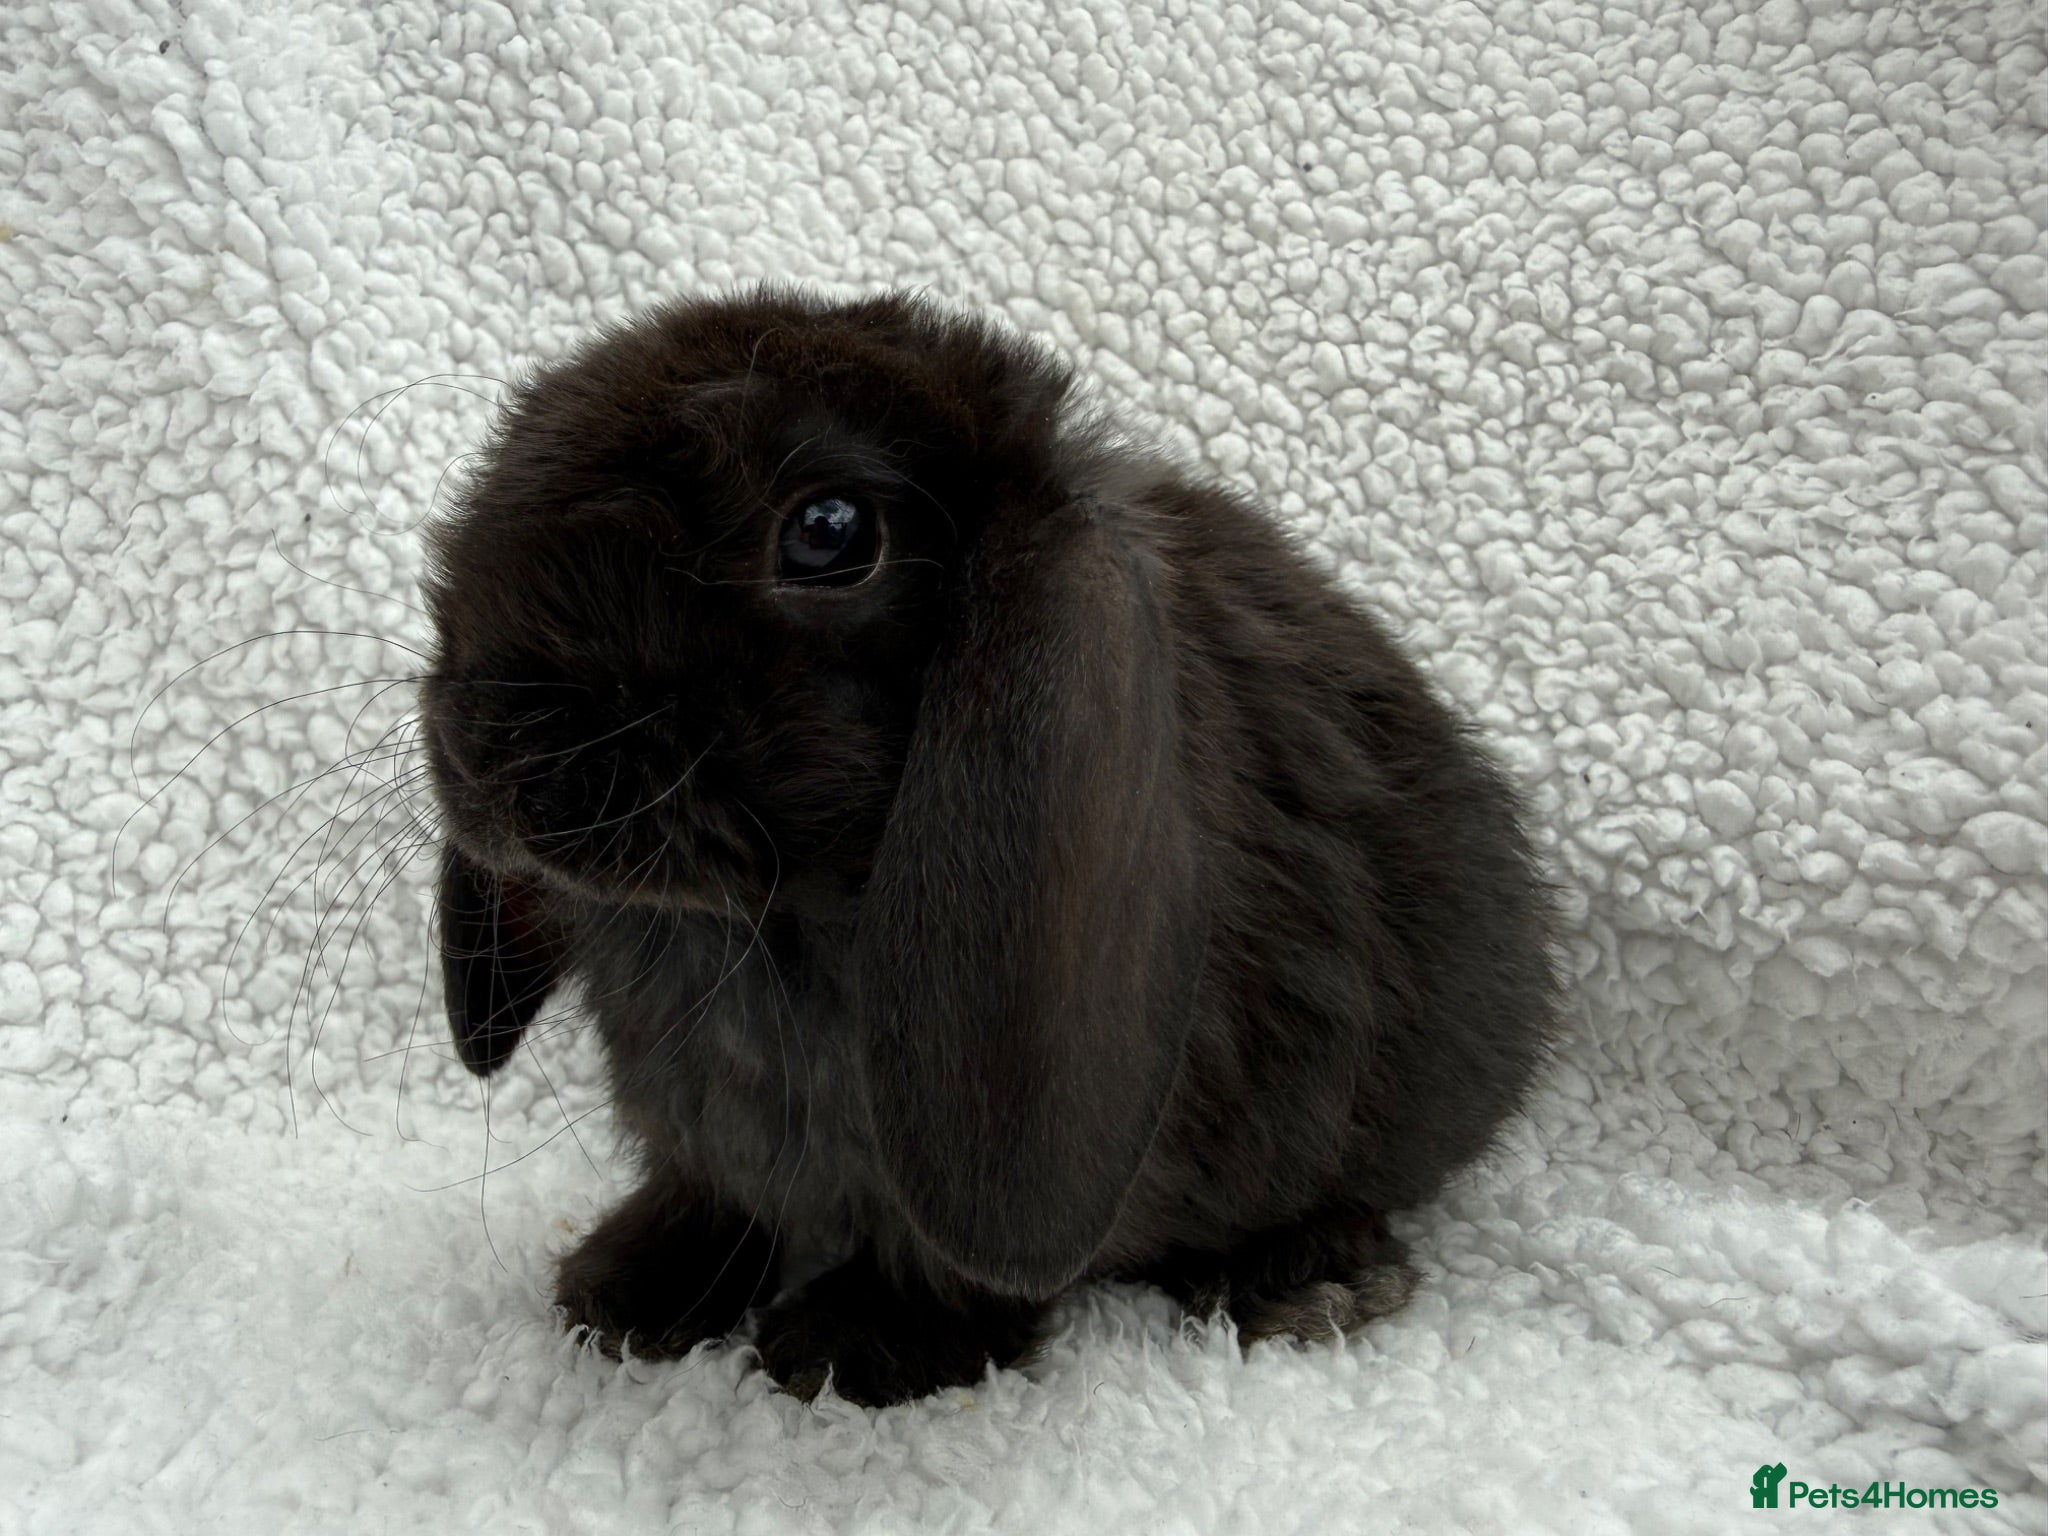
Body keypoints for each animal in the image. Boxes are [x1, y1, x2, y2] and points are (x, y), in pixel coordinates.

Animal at [419, 286, 1561, 1408]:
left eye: (829, 533)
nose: (492, 748)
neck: (758, 926)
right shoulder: (701, 1137)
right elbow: (709, 1199)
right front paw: (624, 1297)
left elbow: (948, 1263)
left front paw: (857, 1352)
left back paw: (1303, 1287)